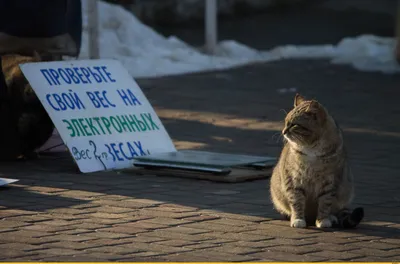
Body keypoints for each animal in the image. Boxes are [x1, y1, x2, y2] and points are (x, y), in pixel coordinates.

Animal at [270, 95, 364, 229]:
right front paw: (298, 219)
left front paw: (323, 220)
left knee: (334, 210)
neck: (311, 148)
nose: (283, 132)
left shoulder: (330, 181)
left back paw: (332, 217)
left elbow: (325, 204)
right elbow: (297, 202)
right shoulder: (293, 180)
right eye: (285, 122)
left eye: (294, 125)